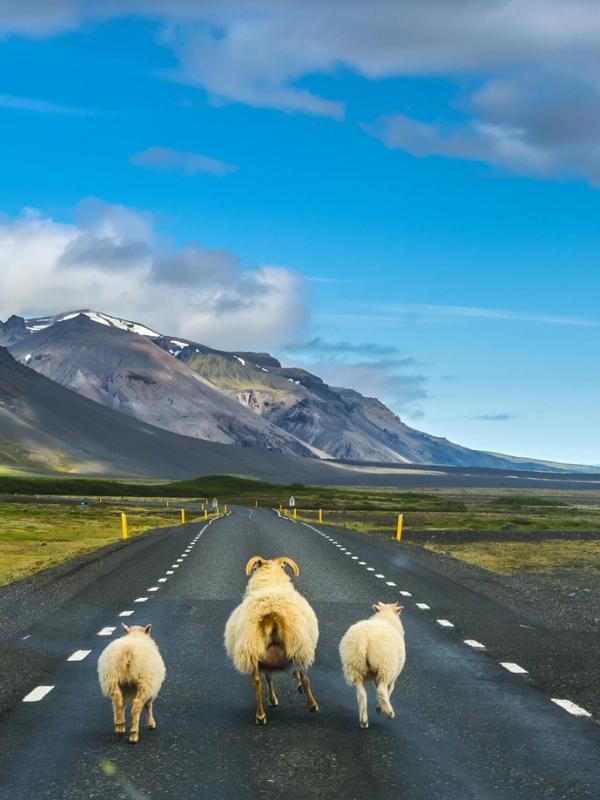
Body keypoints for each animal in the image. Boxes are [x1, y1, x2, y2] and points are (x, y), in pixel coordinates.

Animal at [224, 555, 319, 725]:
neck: (270, 583)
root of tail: (271, 614)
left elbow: (269, 677)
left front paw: (273, 699)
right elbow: (299, 676)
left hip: (254, 649)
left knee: (257, 681)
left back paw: (260, 716)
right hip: (297, 645)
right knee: (304, 677)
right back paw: (312, 705)